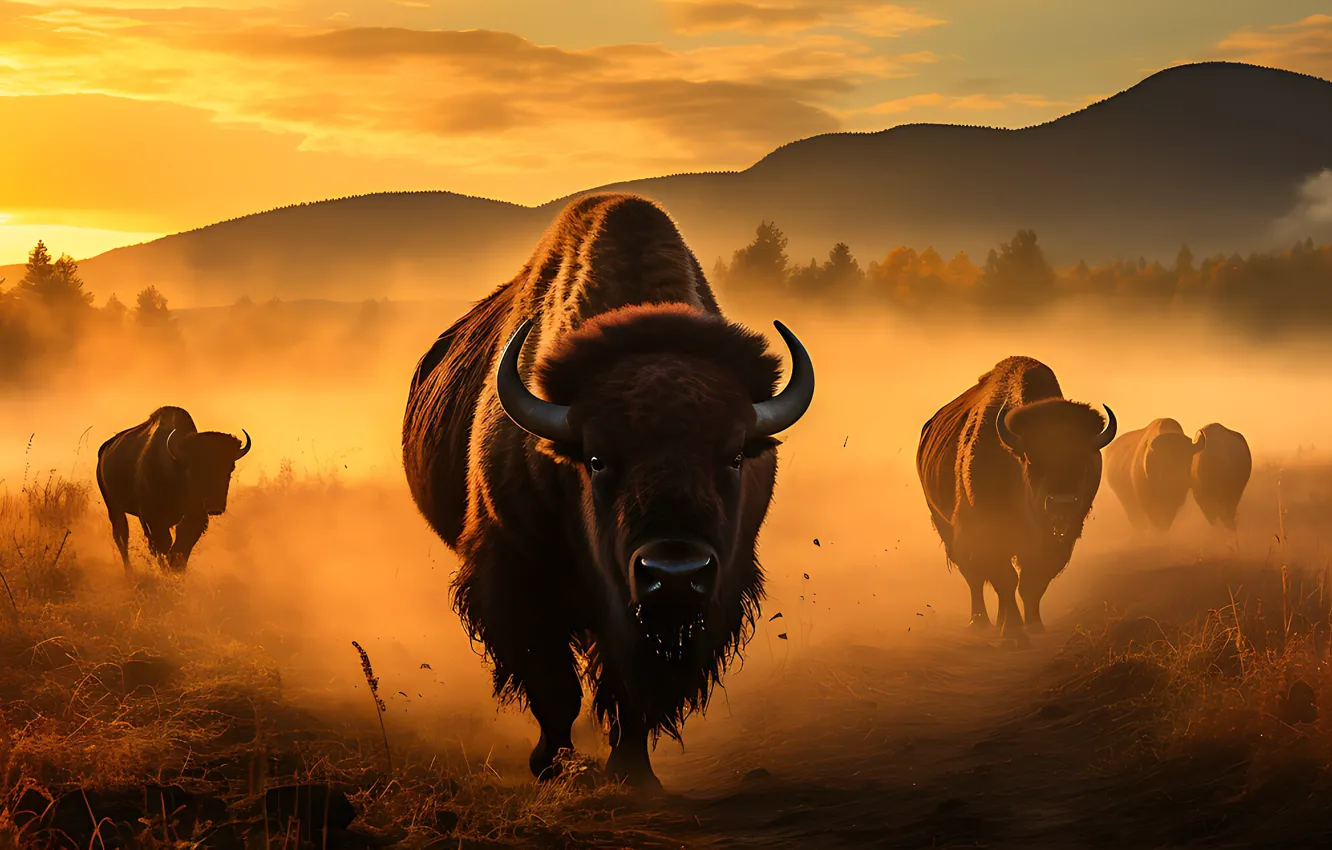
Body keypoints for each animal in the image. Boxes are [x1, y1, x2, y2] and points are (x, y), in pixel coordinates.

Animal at [96, 406, 251, 572]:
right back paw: (129, 572)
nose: (214, 505)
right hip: (113, 506)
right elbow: (164, 545)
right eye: (193, 469)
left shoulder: (194, 516)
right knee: (122, 537)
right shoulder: (153, 517)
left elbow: (181, 545)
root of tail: (104, 450)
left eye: (231, 467)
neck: (175, 464)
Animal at [401, 193, 815, 790]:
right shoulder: (517, 577)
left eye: (735, 455)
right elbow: (555, 687)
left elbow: (630, 689)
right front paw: (551, 765)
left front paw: (634, 774)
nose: (675, 574)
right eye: (596, 460)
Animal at [916, 357, 1115, 639]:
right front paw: (1012, 630)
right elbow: (1005, 579)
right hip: (947, 528)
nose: (1061, 503)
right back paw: (980, 622)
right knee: (974, 576)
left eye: (1084, 458)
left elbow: (1033, 581)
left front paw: (1034, 625)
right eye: (1032, 460)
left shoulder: (1060, 540)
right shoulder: (986, 531)